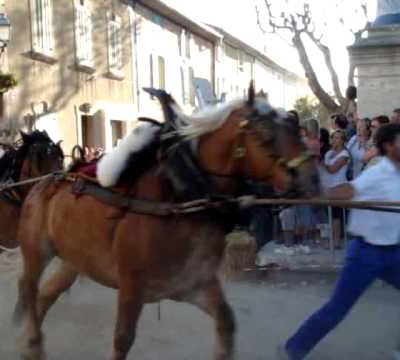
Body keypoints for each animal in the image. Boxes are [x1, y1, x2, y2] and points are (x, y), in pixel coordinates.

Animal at [13, 84, 318, 360]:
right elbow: (122, 340)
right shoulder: (132, 288)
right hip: (36, 252)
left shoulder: (194, 284)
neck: (179, 197)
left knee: (45, 296)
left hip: (74, 260)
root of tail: (43, 181)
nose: (311, 178)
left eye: (294, 127)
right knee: (29, 287)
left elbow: (226, 323)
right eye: (264, 132)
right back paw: (32, 342)